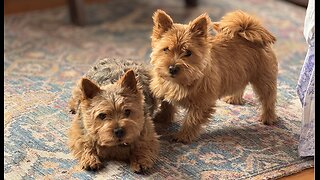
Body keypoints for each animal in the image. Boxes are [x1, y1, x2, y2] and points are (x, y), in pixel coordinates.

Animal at [150, 9, 278, 143]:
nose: (172, 69)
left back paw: (268, 117)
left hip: (264, 80)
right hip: (240, 74)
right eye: (166, 49)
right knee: (240, 86)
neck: (181, 81)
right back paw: (233, 99)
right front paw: (162, 118)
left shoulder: (202, 103)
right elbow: (167, 105)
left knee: (269, 99)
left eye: (188, 53)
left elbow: (191, 120)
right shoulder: (164, 91)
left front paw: (183, 136)